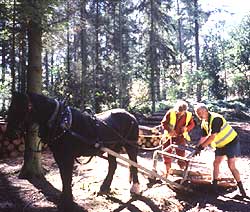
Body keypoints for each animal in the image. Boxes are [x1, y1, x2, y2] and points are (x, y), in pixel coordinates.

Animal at [4, 92, 141, 210]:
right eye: (11, 106)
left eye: (21, 107)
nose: (9, 133)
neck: (61, 122)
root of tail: (131, 115)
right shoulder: (59, 156)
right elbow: (64, 177)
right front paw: (65, 199)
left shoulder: (67, 157)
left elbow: (67, 177)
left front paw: (67, 201)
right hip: (113, 147)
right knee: (113, 166)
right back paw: (104, 187)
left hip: (130, 145)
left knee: (134, 164)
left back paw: (135, 188)